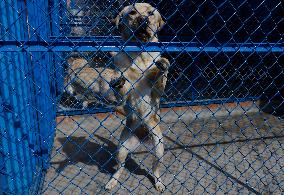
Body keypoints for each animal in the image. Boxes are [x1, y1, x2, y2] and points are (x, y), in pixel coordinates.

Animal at [106, 3, 170, 192]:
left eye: (151, 13)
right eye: (132, 12)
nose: (143, 19)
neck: (139, 55)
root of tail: (141, 137)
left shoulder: (157, 92)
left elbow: (159, 74)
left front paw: (163, 65)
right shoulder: (124, 94)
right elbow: (121, 87)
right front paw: (116, 81)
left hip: (159, 148)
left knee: (155, 168)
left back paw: (158, 182)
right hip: (121, 149)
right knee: (119, 167)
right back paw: (112, 181)